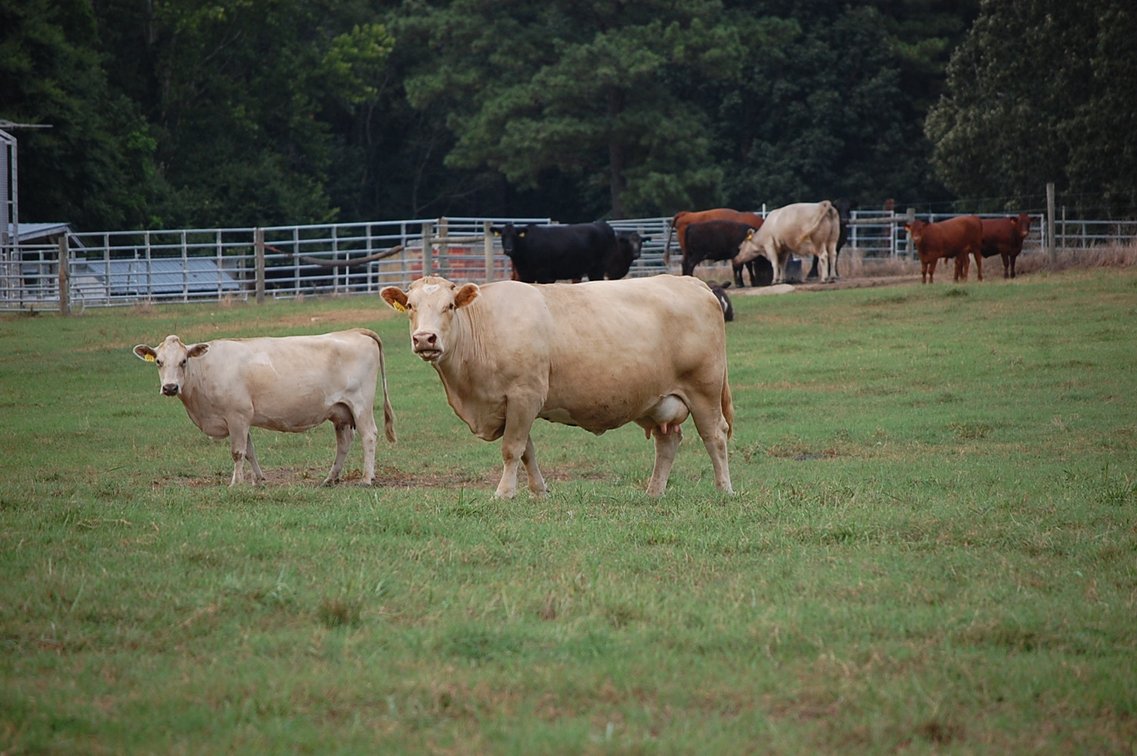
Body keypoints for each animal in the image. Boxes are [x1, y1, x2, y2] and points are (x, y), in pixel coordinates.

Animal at [132, 330, 396, 486]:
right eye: (159, 362)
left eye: (184, 361)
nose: (170, 387)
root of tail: (355, 331)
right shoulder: (242, 418)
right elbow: (250, 451)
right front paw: (258, 480)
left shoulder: (237, 416)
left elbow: (237, 452)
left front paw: (235, 484)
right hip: (340, 412)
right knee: (344, 443)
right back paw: (330, 479)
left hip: (361, 406)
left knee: (369, 436)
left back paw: (366, 478)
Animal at [379, 275, 733, 498]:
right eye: (410, 306)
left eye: (450, 306)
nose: (425, 339)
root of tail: (690, 281)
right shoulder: (512, 406)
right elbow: (526, 451)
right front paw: (539, 491)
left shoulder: (524, 396)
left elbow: (511, 449)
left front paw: (503, 493)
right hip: (658, 402)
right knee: (667, 443)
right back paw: (654, 492)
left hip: (704, 390)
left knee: (714, 436)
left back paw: (724, 490)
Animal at [492, 221, 627, 283]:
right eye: (503, 236)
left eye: (515, 236)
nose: (508, 249)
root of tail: (602, 224)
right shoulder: (526, 275)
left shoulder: (545, 275)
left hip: (598, 269)